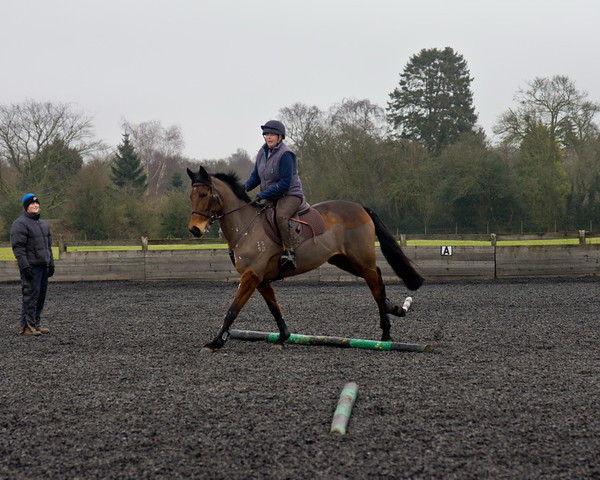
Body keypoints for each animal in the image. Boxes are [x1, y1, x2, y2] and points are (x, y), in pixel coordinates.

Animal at [185, 167, 424, 350]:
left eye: (204, 195)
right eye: (191, 196)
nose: (195, 230)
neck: (245, 226)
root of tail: (360, 207)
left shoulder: (251, 276)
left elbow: (232, 309)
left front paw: (215, 343)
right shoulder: (260, 279)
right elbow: (274, 307)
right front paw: (283, 337)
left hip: (361, 258)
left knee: (374, 283)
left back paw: (386, 333)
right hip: (343, 260)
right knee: (377, 278)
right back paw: (393, 309)